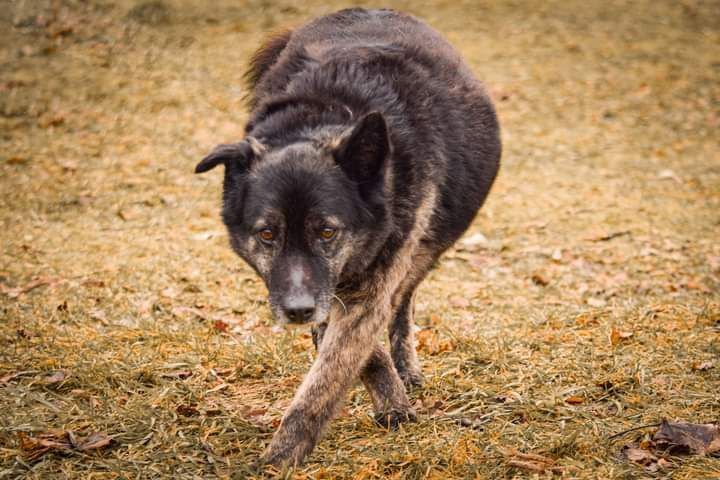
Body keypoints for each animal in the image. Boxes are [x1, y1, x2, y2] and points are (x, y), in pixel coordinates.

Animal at [195, 6, 500, 464]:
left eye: (327, 231)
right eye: (266, 234)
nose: (298, 311)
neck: (325, 118)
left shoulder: (373, 278)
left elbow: (326, 379)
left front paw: (282, 456)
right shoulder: (327, 287)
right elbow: (351, 350)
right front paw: (387, 397)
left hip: (424, 250)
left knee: (404, 301)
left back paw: (405, 366)